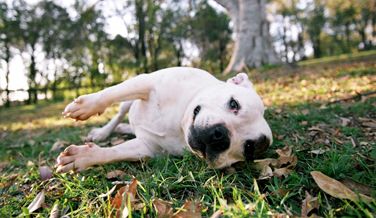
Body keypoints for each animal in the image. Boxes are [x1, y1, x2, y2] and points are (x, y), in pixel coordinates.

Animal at [55, 66, 272, 172]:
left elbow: (114, 153)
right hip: (129, 101)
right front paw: (86, 106)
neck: (180, 124)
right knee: (118, 112)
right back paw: (102, 132)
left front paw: (83, 158)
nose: (221, 136)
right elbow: (110, 93)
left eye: (249, 148)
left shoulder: (146, 147)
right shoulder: (146, 82)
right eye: (234, 104)